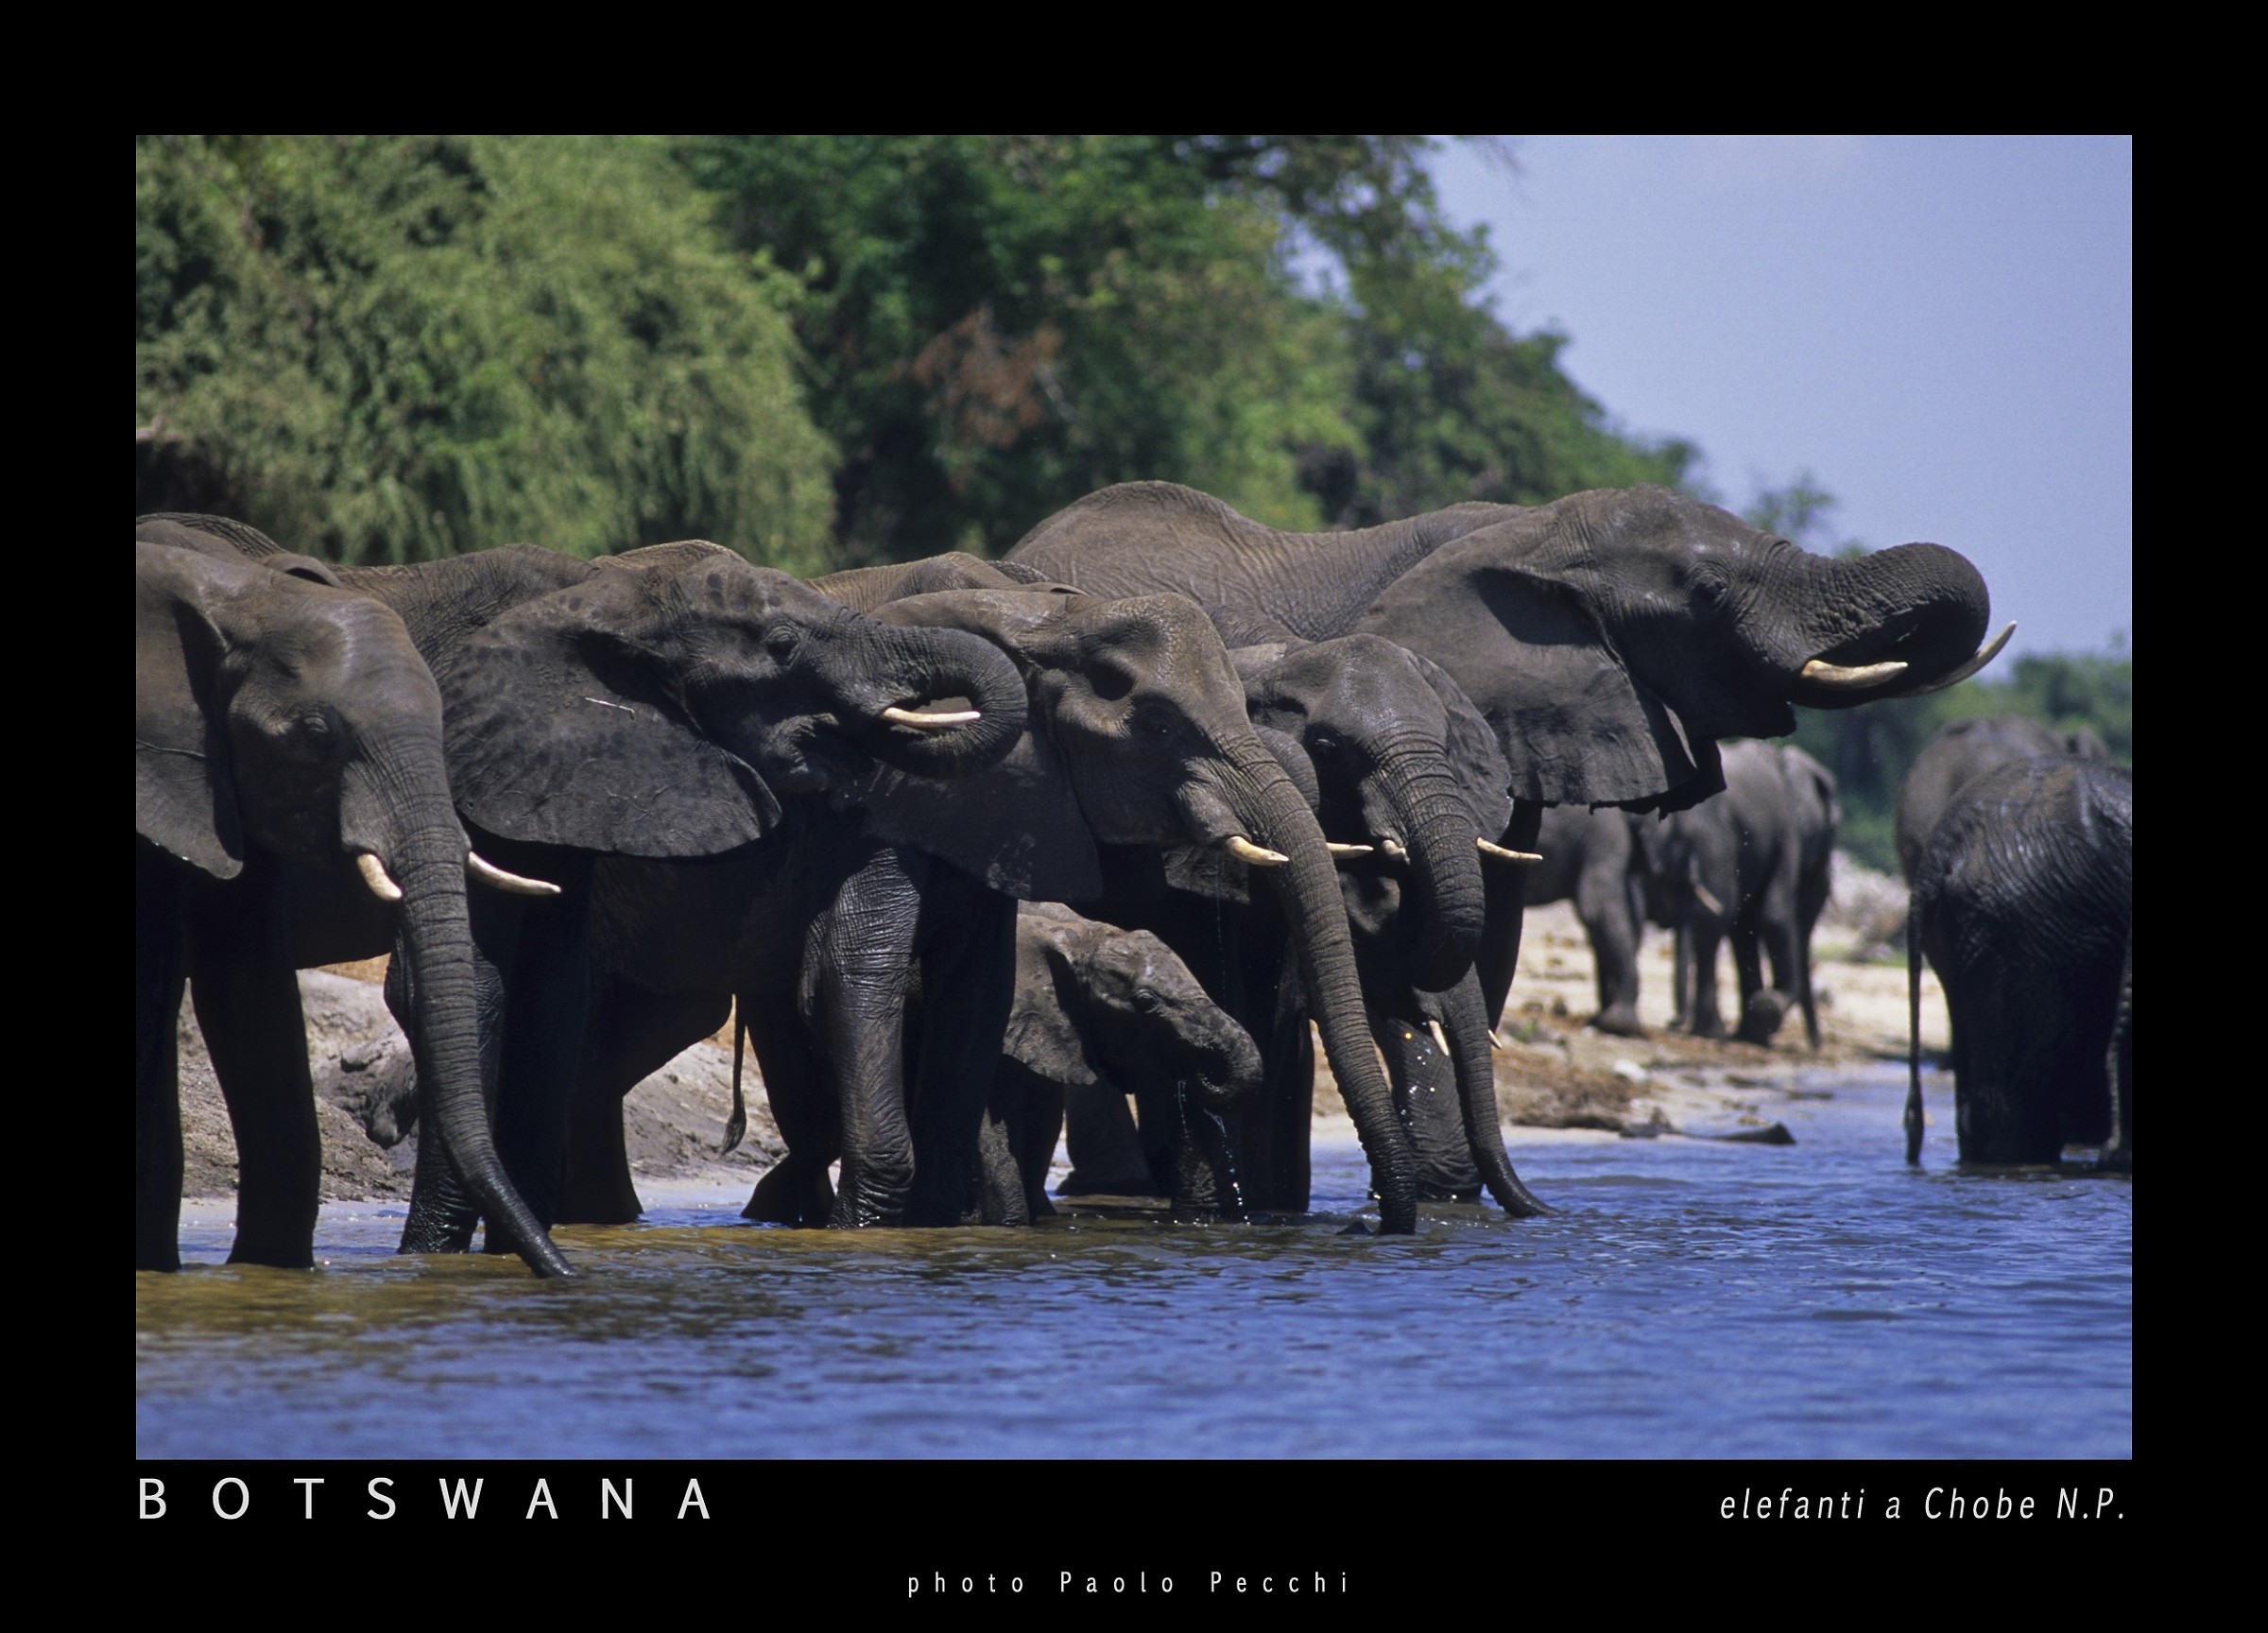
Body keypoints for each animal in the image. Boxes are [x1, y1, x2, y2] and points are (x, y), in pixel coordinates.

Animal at [1637, 740, 1840, 1048]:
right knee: (1714, 922)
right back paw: (1713, 1031)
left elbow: (1744, 926)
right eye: (1833, 830)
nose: (1816, 1046)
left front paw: (1753, 1030)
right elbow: (1772, 917)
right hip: (1715, 843)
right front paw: (1765, 1014)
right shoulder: (1786, 834)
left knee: (1708, 923)